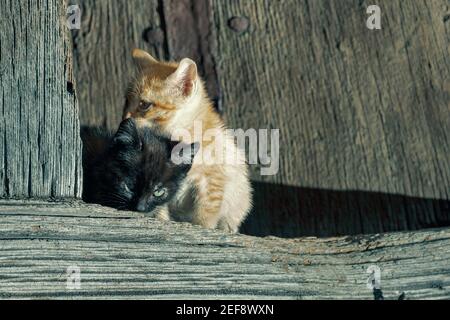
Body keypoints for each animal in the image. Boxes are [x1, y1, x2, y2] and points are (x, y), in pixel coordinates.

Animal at [123, 48, 251, 232]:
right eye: (126, 102)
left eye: (144, 105)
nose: (124, 119)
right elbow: (159, 206)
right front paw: (160, 219)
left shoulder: (212, 183)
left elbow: (205, 216)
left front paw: (202, 227)